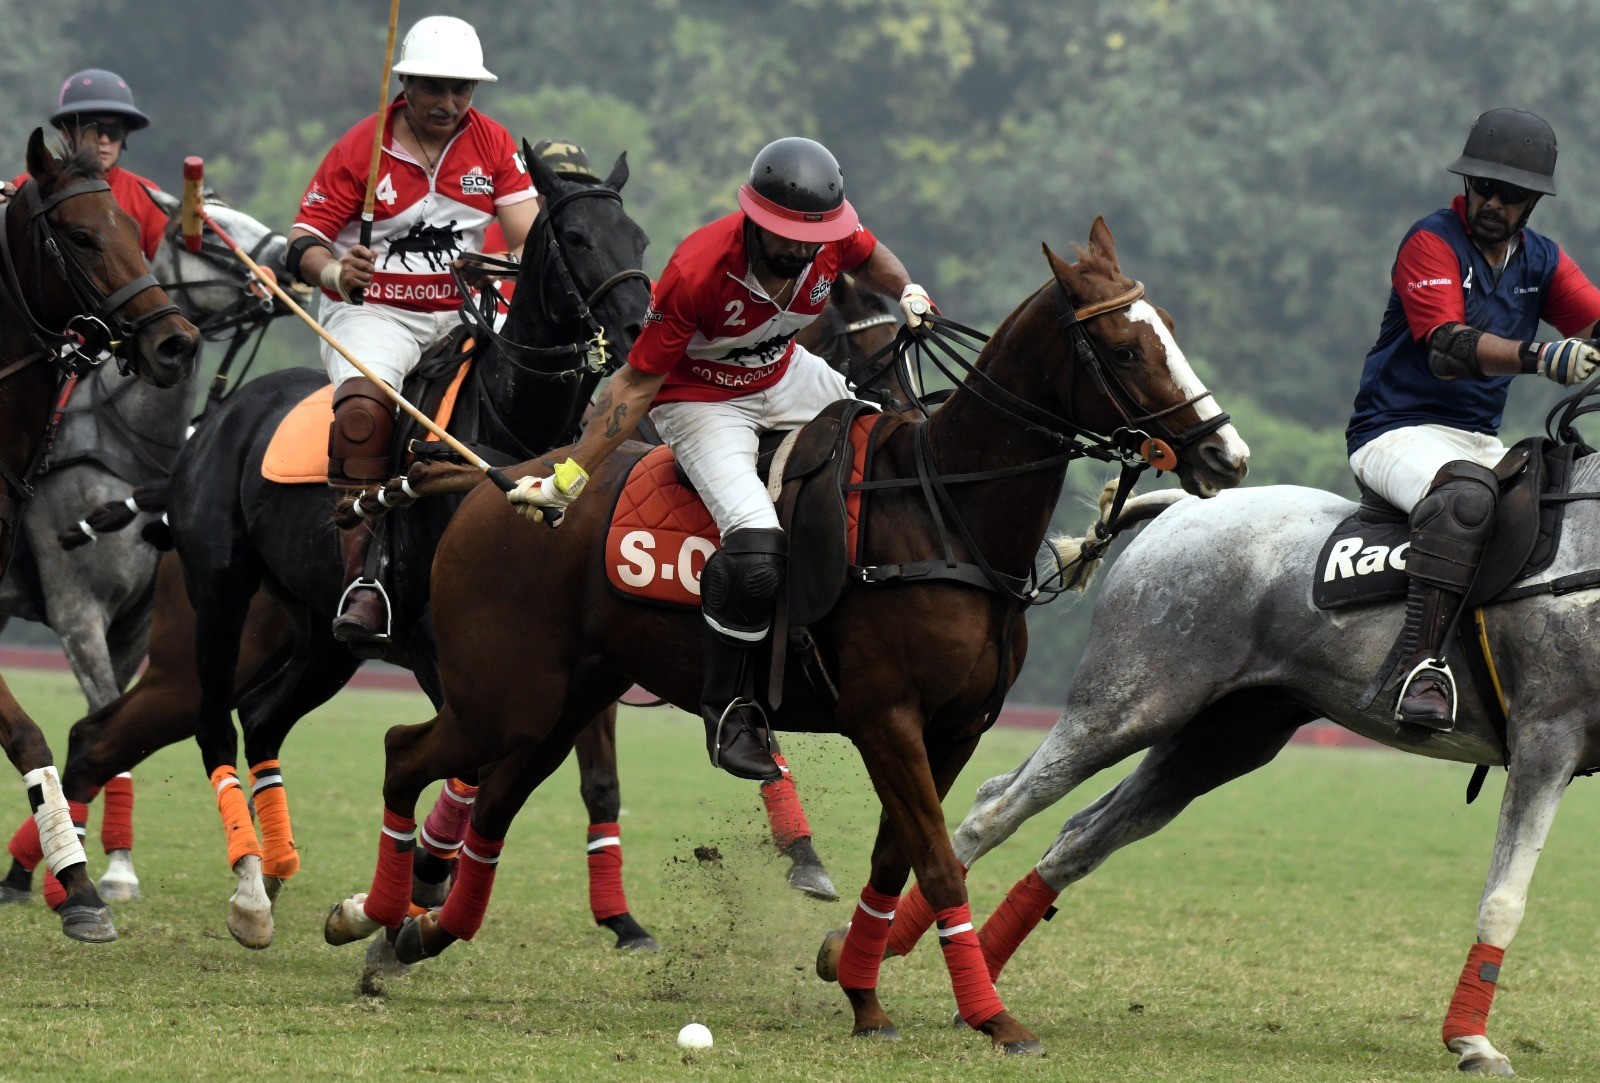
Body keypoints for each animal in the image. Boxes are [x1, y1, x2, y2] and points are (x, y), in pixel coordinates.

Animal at [0, 191, 288, 902]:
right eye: (210, 232)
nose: (283, 265)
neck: (132, 444)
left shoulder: (132, 627)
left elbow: (105, 727)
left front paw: (99, 862)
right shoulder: (78, 612)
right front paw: (97, 865)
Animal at [168, 151, 649, 947]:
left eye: (636, 236)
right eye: (577, 238)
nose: (641, 324)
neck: (509, 440)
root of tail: (222, 412)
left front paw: (422, 878)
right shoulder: (438, 648)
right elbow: (476, 760)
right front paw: (417, 878)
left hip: (323, 634)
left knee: (263, 716)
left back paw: (280, 866)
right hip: (218, 590)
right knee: (214, 721)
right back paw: (250, 893)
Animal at [321, 215, 1248, 1049]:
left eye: (1168, 330)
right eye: (1123, 350)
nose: (1226, 456)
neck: (944, 509)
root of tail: (496, 480)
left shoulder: (953, 730)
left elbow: (896, 861)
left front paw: (865, 998)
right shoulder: (887, 718)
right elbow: (938, 860)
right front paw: (993, 1018)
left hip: (563, 698)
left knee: (494, 801)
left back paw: (413, 933)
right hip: (504, 693)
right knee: (405, 752)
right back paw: (364, 913)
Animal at [876, 463, 1600, 1075]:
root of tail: (1183, 505)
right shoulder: (1546, 734)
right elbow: (1504, 898)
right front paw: (1472, 1041)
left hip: (1223, 737)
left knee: (1080, 836)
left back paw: (971, 988)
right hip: (1130, 703)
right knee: (998, 804)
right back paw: (896, 956)